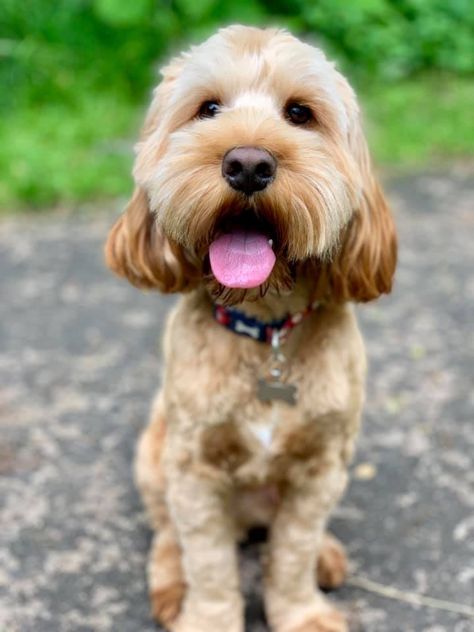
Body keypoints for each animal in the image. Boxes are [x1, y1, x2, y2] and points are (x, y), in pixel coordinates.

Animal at [103, 24, 396, 632]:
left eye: (300, 113)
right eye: (208, 108)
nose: (247, 164)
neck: (266, 330)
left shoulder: (320, 469)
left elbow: (292, 553)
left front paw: (303, 613)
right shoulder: (192, 471)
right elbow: (210, 564)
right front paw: (208, 617)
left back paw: (327, 554)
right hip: (153, 457)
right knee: (167, 535)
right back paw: (171, 584)